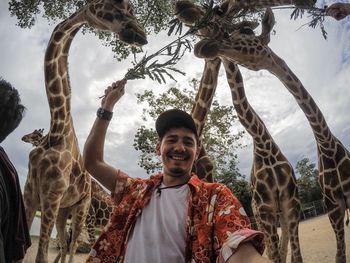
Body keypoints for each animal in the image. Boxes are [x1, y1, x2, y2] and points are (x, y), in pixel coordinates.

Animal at [22, 1, 147, 262]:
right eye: (121, 5)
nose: (142, 35)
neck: (57, 129)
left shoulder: (51, 196)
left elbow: (41, 255)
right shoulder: (30, 193)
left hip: (79, 210)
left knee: (71, 244)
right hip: (65, 210)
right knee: (64, 243)